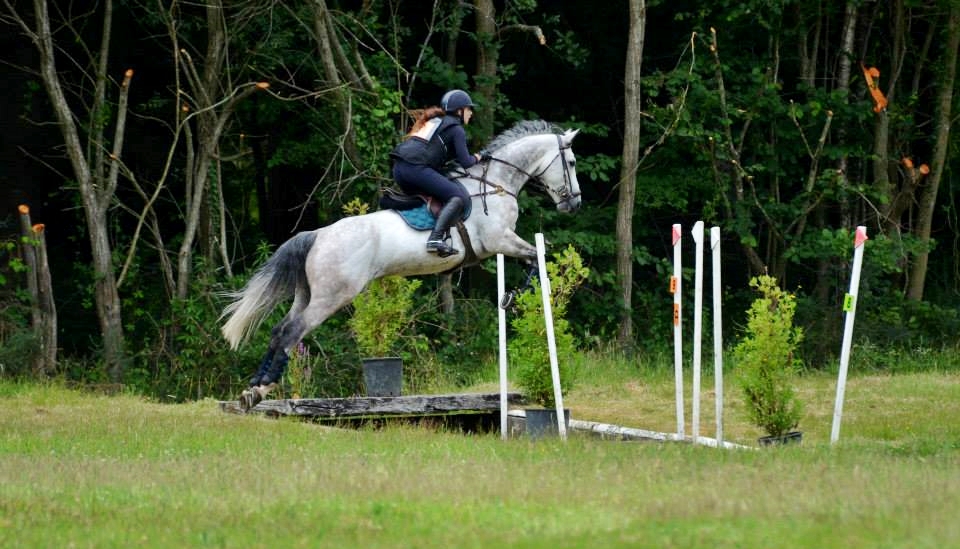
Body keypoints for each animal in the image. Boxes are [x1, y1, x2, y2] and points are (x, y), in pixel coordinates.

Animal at [221, 121, 580, 412]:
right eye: (572, 163)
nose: (574, 203)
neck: (494, 183)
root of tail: (317, 234)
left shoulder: (503, 243)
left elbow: (534, 256)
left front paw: (514, 295)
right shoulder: (499, 240)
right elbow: (536, 256)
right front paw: (515, 295)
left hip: (307, 294)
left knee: (280, 330)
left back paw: (252, 390)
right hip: (332, 295)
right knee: (293, 331)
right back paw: (263, 388)